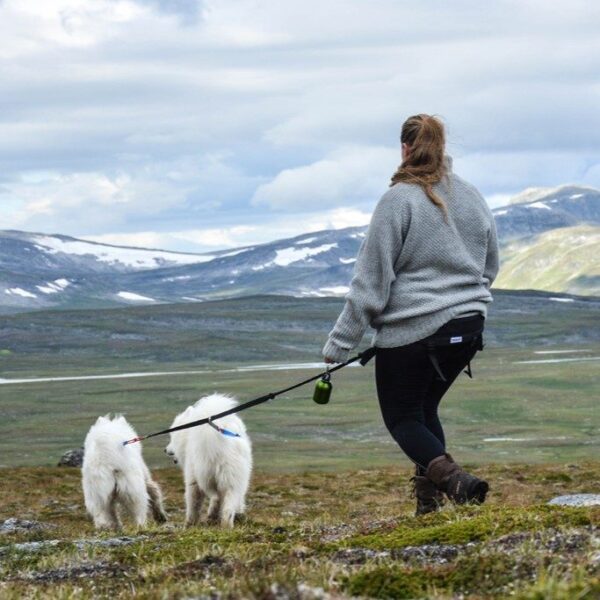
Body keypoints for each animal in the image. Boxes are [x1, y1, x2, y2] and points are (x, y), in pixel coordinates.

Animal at [166, 396, 253, 528]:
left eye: (172, 436)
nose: (165, 450)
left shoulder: (192, 478)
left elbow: (193, 503)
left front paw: (190, 523)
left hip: (205, 475)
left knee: (215, 497)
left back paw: (212, 516)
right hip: (233, 479)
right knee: (227, 507)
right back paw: (226, 526)